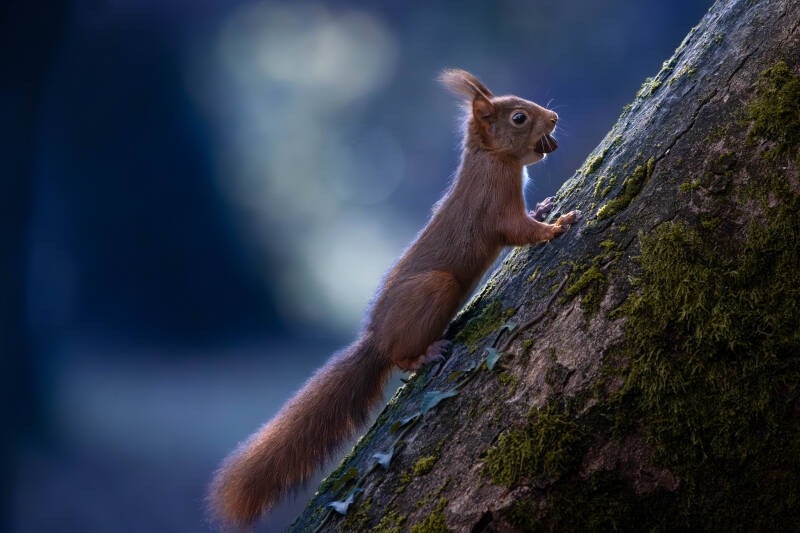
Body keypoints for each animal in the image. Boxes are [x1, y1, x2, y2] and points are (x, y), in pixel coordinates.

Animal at [208, 69, 580, 528]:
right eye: (519, 118)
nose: (555, 117)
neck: (490, 159)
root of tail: (377, 340)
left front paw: (546, 208)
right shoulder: (495, 204)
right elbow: (517, 229)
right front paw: (556, 225)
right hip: (436, 288)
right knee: (402, 358)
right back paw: (424, 354)